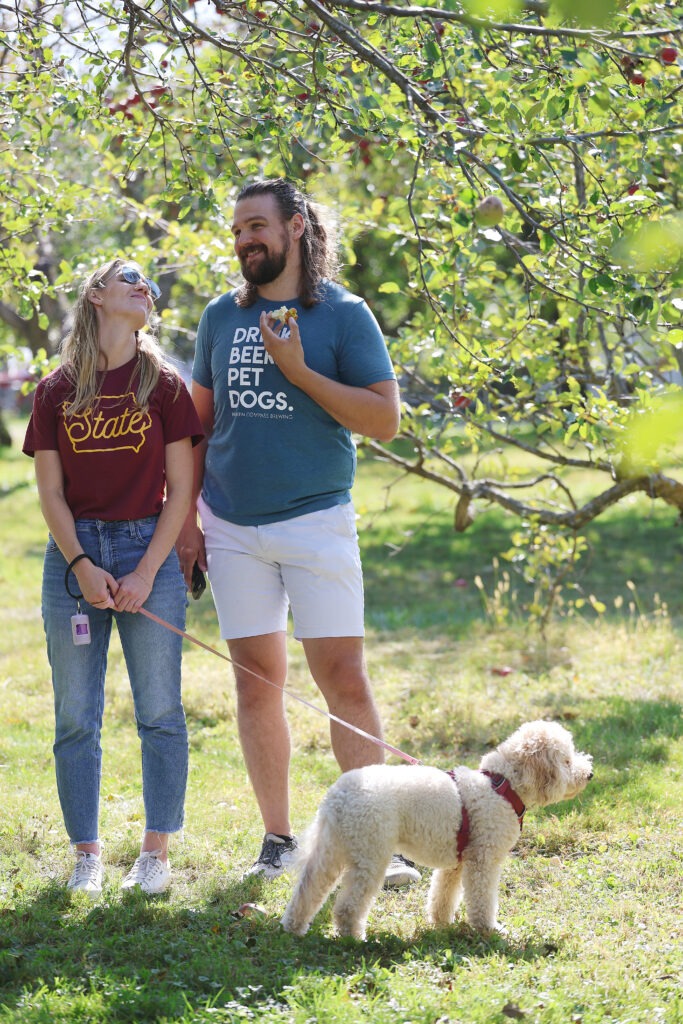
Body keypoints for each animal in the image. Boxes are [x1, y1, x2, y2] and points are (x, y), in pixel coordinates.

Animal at [282, 720, 593, 937]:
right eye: (566, 761)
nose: (590, 774)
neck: (501, 786)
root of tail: (337, 796)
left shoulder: (456, 862)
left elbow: (443, 895)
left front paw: (442, 924)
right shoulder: (482, 860)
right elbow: (482, 900)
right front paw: (489, 929)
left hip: (333, 848)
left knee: (308, 888)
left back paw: (293, 927)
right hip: (370, 854)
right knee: (348, 905)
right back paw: (353, 936)